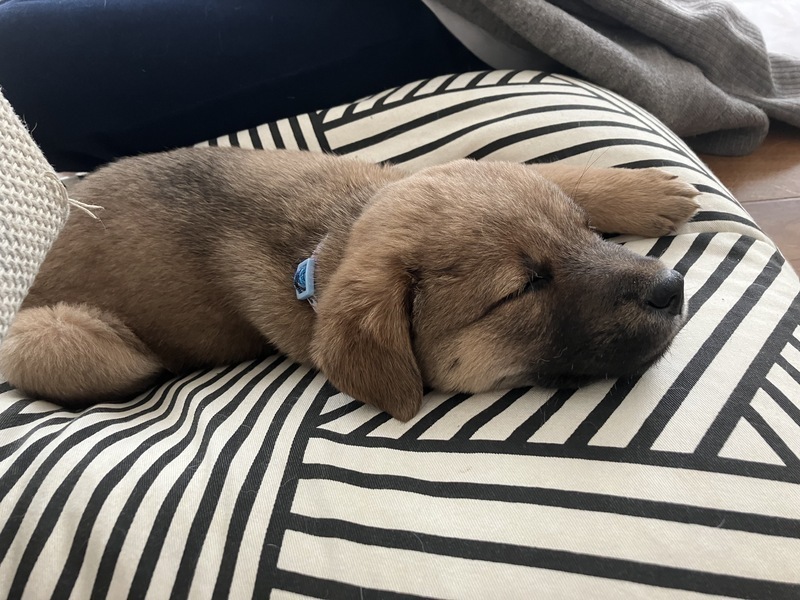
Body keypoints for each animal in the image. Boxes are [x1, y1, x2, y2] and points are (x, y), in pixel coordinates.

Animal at [0, 147, 699, 420]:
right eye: (518, 291)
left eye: (582, 232)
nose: (674, 287)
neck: (325, 241)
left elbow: (547, 170)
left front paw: (642, 191)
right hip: (59, 337)